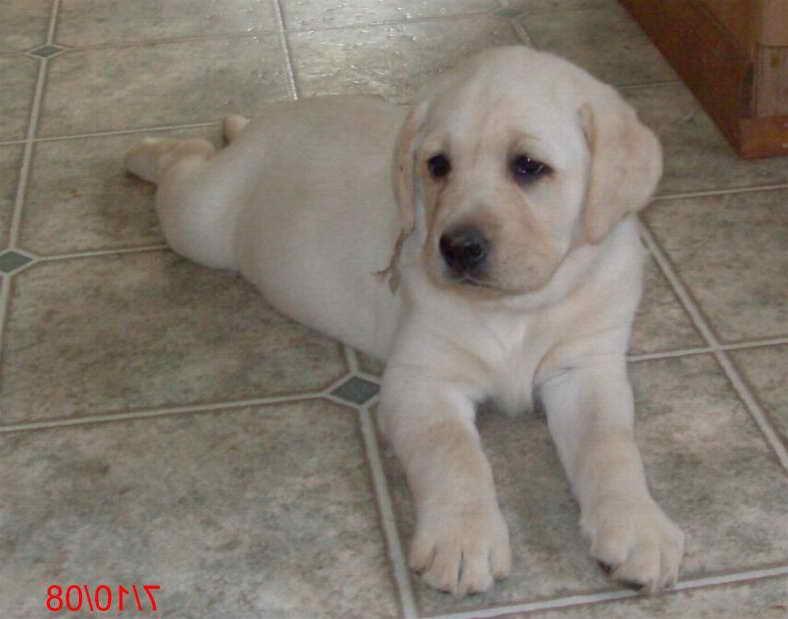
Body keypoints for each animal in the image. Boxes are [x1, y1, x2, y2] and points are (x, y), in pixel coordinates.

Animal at [127, 46, 684, 600]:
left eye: (528, 166)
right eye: (437, 165)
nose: (457, 247)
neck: (515, 308)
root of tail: (264, 122)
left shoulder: (588, 368)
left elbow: (610, 445)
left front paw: (639, 527)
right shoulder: (421, 381)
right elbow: (453, 453)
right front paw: (463, 540)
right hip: (201, 223)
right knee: (185, 162)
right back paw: (148, 149)